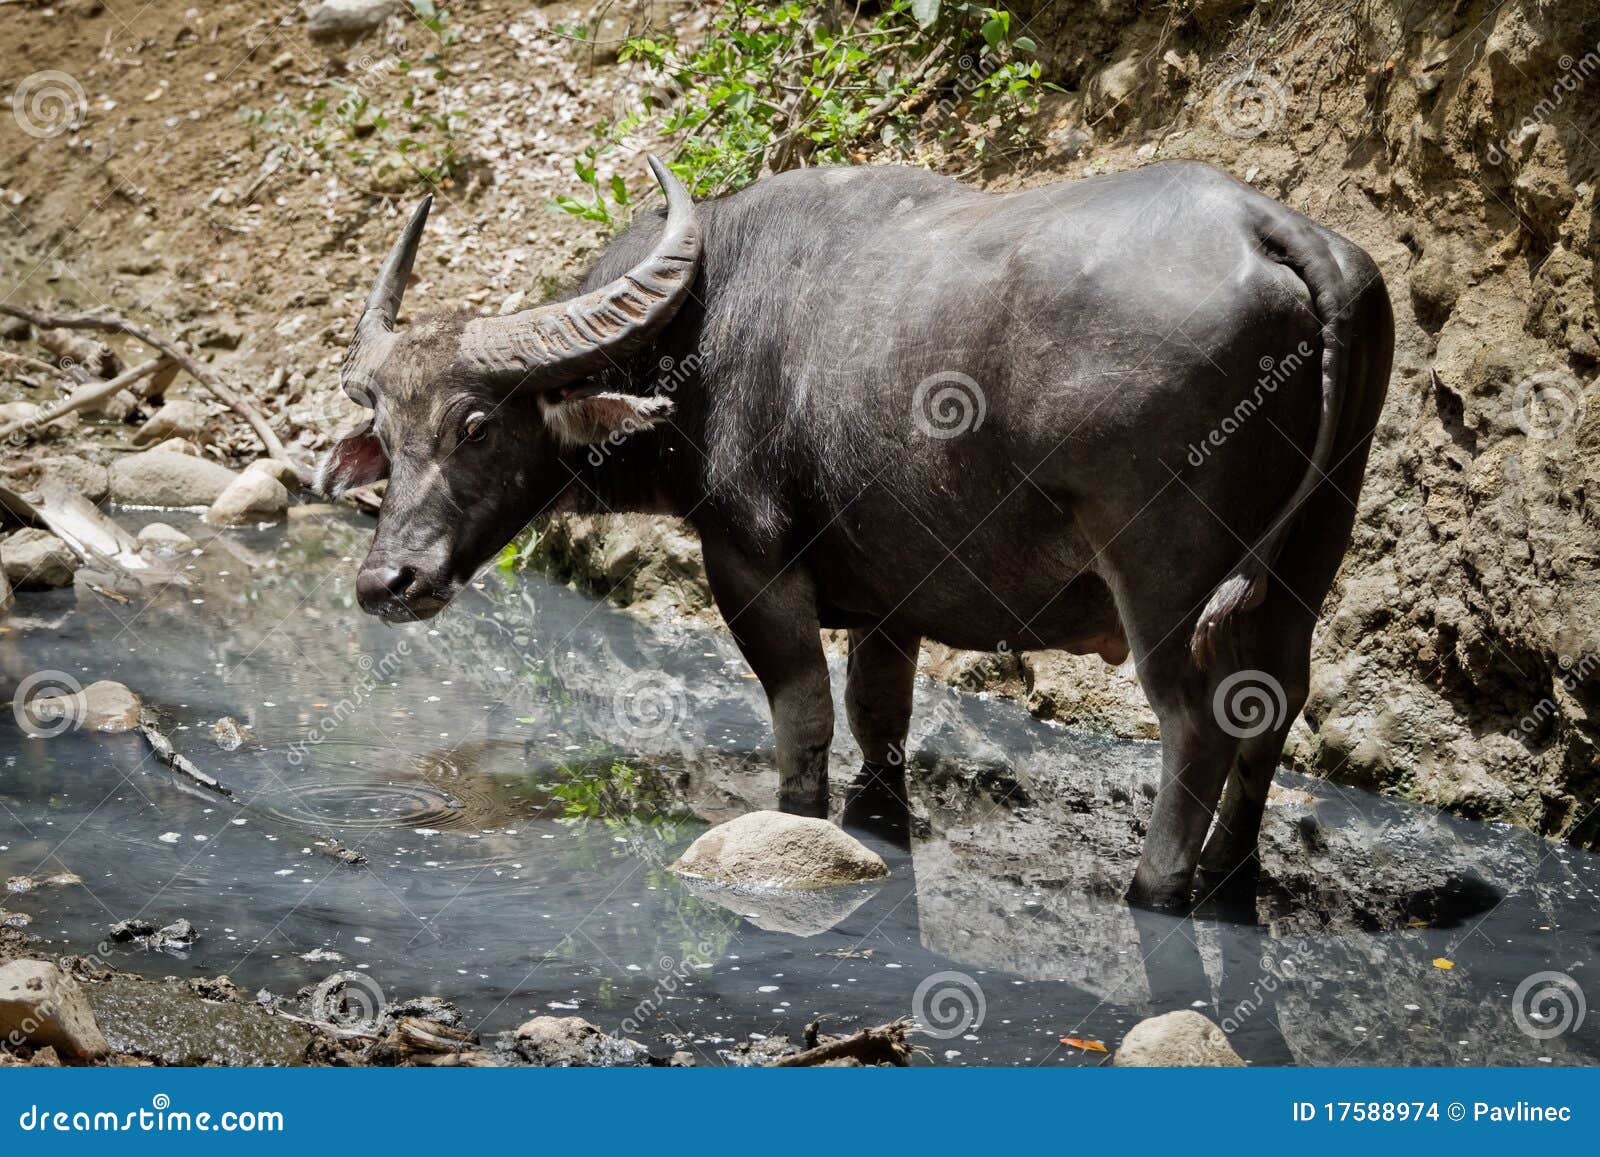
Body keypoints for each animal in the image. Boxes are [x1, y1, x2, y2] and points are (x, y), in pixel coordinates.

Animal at [319, 156, 1392, 909]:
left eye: (475, 425)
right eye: (386, 434)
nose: (386, 583)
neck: (706, 329)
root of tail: (1272, 228)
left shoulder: (751, 567)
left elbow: (803, 723)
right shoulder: (895, 598)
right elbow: (881, 720)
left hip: (1165, 573)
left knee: (1196, 722)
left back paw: (1158, 884)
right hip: (1313, 549)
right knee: (1275, 698)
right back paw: (1229, 876)